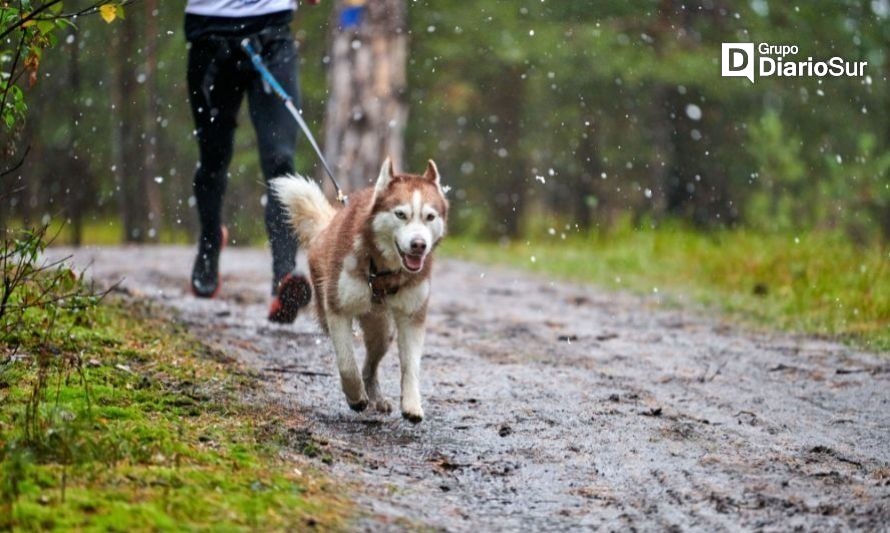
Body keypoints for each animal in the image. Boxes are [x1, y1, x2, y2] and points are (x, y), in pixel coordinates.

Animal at [268, 156, 450, 422]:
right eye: (401, 214)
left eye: (429, 216)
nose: (419, 245)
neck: (384, 270)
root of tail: (329, 224)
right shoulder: (337, 310)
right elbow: (346, 364)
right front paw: (355, 396)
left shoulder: (412, 316)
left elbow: (411, 366)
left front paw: (412, 404)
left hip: (382, 329)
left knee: (370, 366)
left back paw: (376, 396)